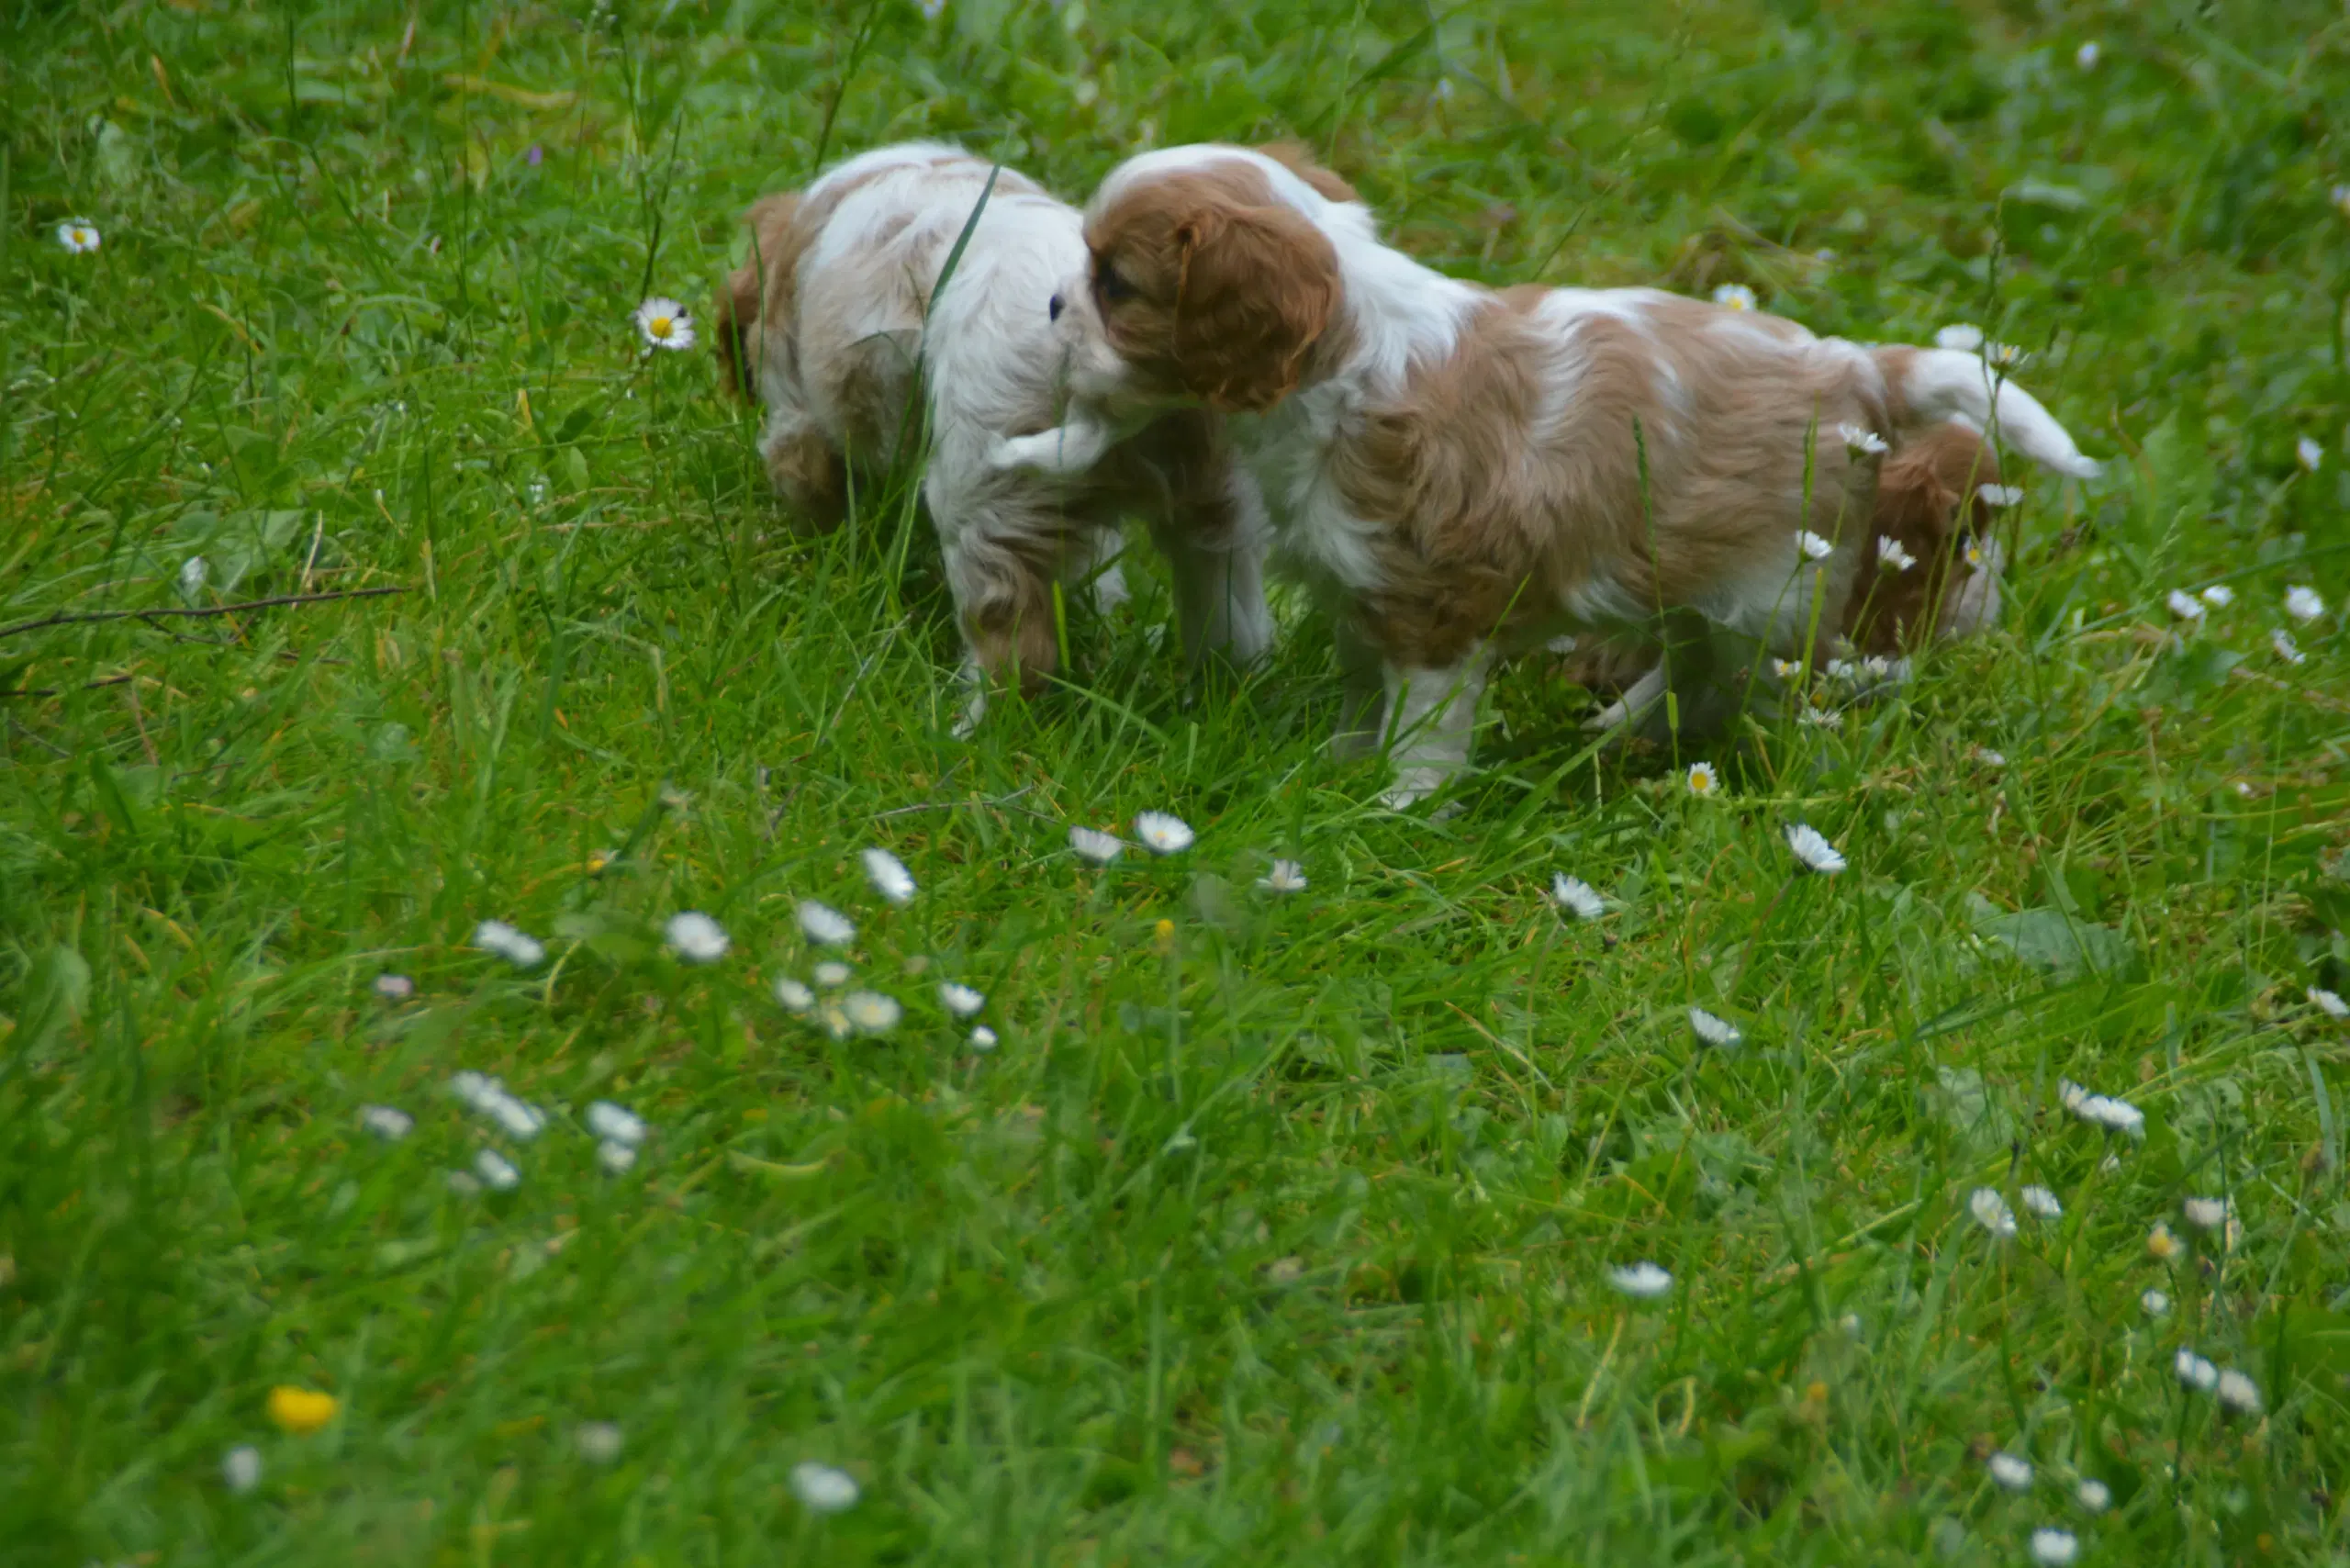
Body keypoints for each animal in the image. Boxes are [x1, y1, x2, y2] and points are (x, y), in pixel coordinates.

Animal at [714, 140, 1278, 728]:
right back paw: (1223, 701)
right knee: (1230, 615)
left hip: (982, 496)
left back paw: (967, 727)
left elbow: (809, 486)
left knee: (1013, 651)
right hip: (1216, 497)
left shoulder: (794, 407)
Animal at [1001, 145, 2105, 803]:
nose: (1050, 306)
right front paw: (1341, 763)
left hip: (1776, 596)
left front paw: (1397, 806)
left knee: (1737, 678)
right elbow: (1363, 690)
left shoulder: (1436, 599)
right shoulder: (1363, 588)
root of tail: (1858, 368)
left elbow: (1423, 724)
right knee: (1693, 664)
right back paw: (1611, 731)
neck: (1352, 348)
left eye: (1116, 285)